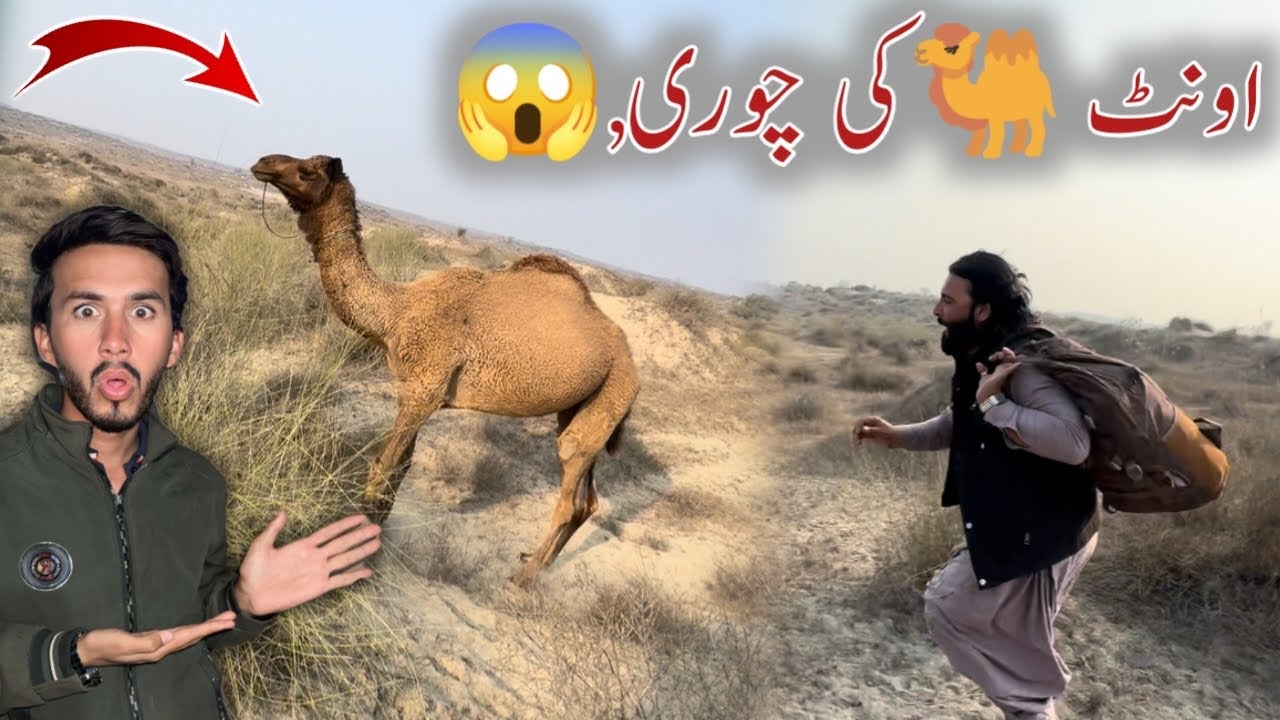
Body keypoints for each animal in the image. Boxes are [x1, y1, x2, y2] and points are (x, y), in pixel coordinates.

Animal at [250, 153, 639, 587]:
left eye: (307, 172)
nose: (263, 162)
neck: (396, 311)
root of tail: (629, 362)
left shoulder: (423, 389)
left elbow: (384, 466)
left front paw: (362, 554)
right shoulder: (414, 392)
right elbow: (401, 468)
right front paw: (377, 531)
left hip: (611, 394)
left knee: (570, 489)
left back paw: (521, 579)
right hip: (587, 409)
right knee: (587, 499)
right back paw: (537, 562)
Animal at [915, 24, 1056, 158]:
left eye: (952, 48)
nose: (920, 50)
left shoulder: (995, 115)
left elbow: (997, 133)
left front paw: (990, 154)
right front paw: (974, 152)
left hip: (1035, 109)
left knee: (1038, 127)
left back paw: (1033, 151)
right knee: (1021, 125)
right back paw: (1016, 149)